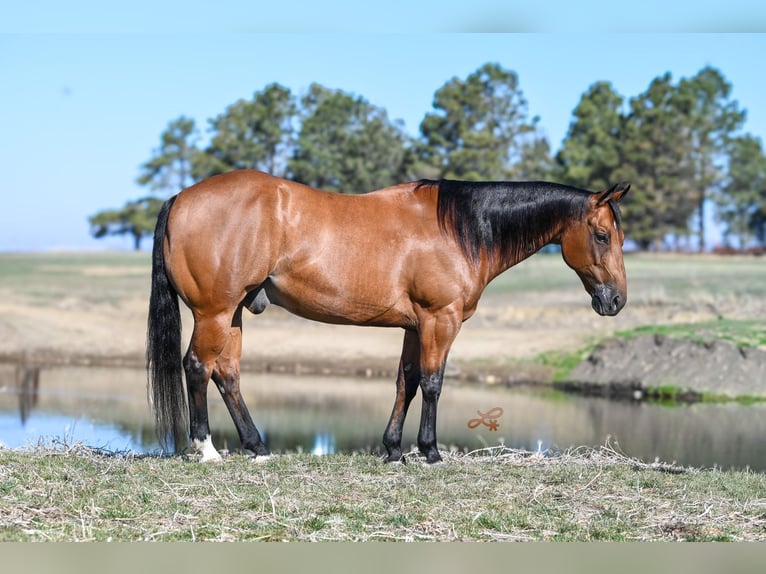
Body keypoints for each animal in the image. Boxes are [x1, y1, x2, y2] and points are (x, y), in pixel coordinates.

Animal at [146, 170, 629, 464]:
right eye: (602, 236)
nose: (616, 301)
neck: (460, 230)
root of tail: (181, 197)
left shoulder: (415, 326)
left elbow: (407, 382)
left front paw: (394, 449)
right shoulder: (440, 320)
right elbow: (433, 383)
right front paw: (430, 452)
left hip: (232, 313)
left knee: (227, 374)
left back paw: (257, 445)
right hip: (214, 311)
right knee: (198, 366)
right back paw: (207, 449)